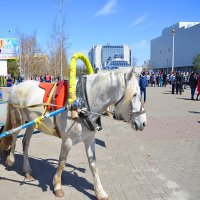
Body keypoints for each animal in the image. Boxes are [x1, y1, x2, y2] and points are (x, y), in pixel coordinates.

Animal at [0, 68, 147, 198]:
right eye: (134, 94)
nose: (143, 123)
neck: (84, 103)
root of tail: (16, 86)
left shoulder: (89, 139)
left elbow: (93, 164)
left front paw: (100, 192)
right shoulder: (67, 141)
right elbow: (62, 162)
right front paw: (57, 186)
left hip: (33, 123)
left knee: (26, 143)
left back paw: (27, 171)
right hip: (18, 119)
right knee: (14, 136)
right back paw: (10, 159)